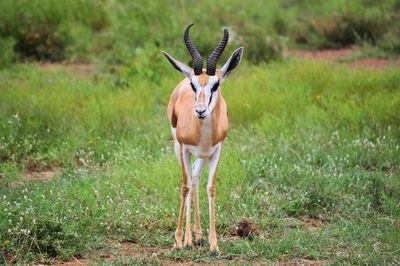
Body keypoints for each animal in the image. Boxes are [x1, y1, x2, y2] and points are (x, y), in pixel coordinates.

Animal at [162, 23, 244, 255]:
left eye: (216, 85)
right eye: (194, 86)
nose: (199, 110)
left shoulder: (216, 151)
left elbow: (210, 188)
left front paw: (214, 245)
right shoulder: (184, 149)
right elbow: (184, 186)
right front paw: (179, 241)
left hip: (202, 156)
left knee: (196, 177)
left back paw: (198, 236)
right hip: (180, 150)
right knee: (190, 181)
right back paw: (189, 239)